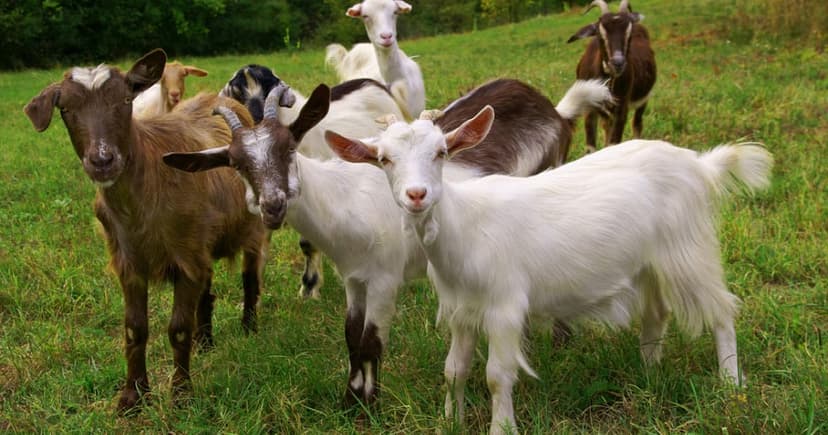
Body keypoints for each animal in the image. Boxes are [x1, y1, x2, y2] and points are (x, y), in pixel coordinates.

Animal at [23, 49, 267, 412]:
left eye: (126, 100)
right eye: (64, 109)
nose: (103, 160)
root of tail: (221, 99)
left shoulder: (185, 256)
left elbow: (178, 328)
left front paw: (181, 395)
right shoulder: (130, 260)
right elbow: (134, 329)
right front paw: (132, 397)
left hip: (250, 227)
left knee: (250, 276)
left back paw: (250, 328)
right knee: (207, 291)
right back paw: (205, 342)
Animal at [163, 79, 611, 408]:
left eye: (289, 146)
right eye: (236, 163)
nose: (273, 205)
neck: (345, 200)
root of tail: (554, 110)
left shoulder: (384, 278)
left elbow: (371, 340)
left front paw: (369, 404)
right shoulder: (354, 277)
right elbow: (350, 335)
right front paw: (350, 400)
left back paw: (561, 341)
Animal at [326, 106, 772, 434]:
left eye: (441, 152)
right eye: (384, 159)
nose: (417, 195)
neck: (464, 227)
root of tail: (699, 165)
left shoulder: (504, 306)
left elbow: (497, 374)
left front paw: (502, 428)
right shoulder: (461, 310)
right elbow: (454, 371)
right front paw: (449, 421)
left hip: (687, 248)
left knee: (721, 310)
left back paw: (730, 383)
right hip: (649, 261)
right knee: (657, 312)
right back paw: (649, 372)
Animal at [567, 0, 656, 152]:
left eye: (629, 35)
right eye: (599, 33)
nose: (618, 63)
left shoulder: (621, 108)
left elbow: (614, 143)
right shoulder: (590, 109)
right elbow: (590, 147)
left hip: (643, 99)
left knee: (637, 123)